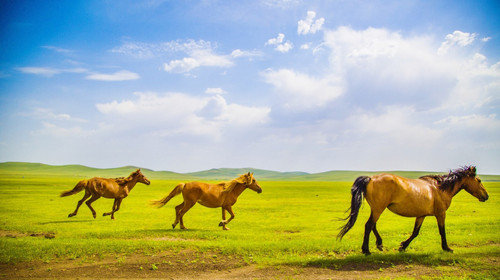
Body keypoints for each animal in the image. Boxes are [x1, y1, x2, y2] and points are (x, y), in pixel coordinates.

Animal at [336, 166, 488, 256]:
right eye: (479, 180)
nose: (486, 196)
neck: (440, 189)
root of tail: (371, 178)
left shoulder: (421, 215)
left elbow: (415, 232)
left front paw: (403, 246)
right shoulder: (441, 214)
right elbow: (442, 231)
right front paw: (447, 248)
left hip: (377, 209)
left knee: (372, 225)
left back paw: (379, 244)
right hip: (378, 208)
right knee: (369, 225)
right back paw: (366, 250)